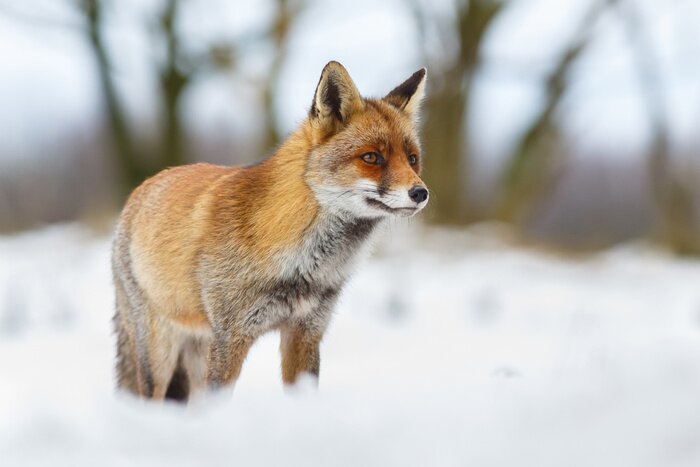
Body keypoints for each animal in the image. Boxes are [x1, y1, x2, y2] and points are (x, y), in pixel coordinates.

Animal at [112, 61, 429, 402]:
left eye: (413, 160)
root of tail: (138, 193)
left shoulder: (306, 332)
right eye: (371, 157)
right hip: (160, 355)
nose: (420, 193)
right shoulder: (231, 337)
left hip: (198, 351)